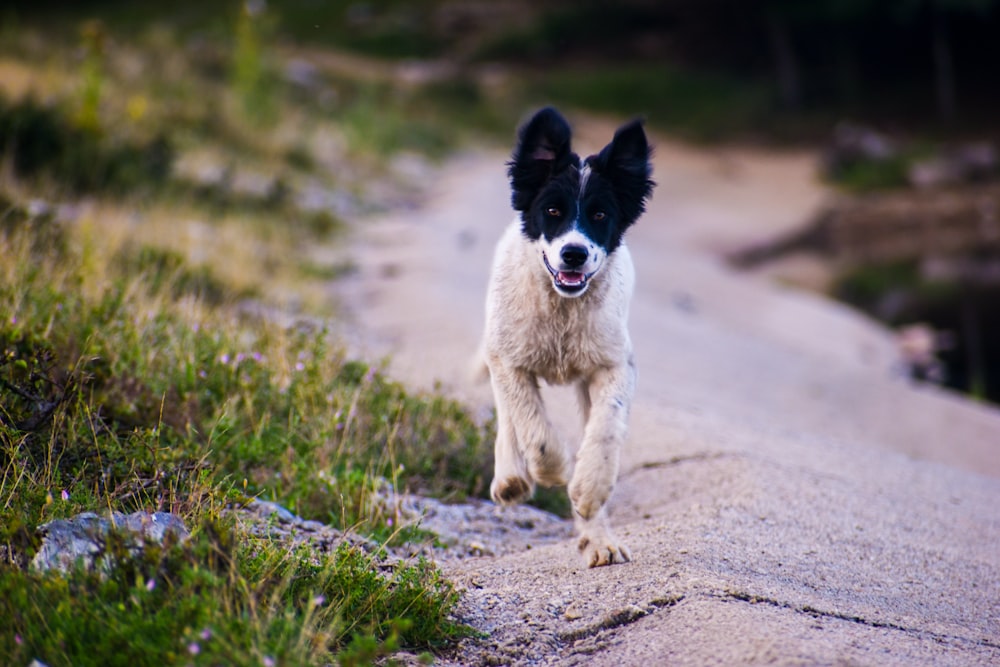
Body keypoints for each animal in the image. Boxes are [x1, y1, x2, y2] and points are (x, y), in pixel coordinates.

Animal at [478, 107, 652, 568]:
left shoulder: (614, 364)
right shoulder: (508, 360)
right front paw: (551, 470)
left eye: (600, 216)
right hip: (496, 342)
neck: (562, 312)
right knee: (508, 416)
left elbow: (606, 428)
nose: (574, 254)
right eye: (552, 210)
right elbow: (531, 425)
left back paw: (599, 538)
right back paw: (511, 476)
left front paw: (588, 491)